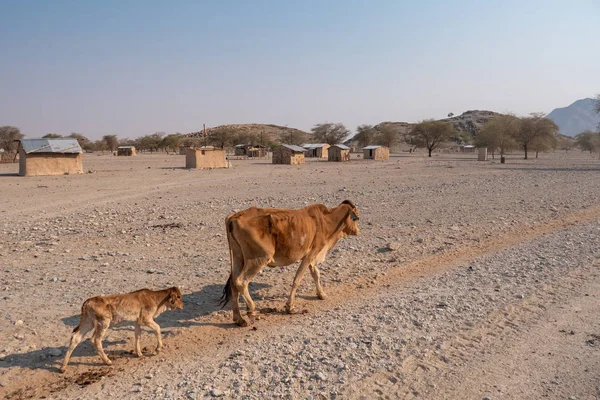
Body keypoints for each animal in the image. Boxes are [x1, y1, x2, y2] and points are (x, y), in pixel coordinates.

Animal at [221, 199, 358, 324]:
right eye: (355, 218)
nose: (357, 231)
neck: (326, 220)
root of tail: (233, 217)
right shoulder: (310, 255)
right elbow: (297, 279)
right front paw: (290, 307)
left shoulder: (311, 258)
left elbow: (316, 275)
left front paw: (321, 294)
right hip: (258, 259)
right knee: (241, 281)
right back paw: (251, 310)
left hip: (238, 257)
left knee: (233, 283)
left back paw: (239, 319)